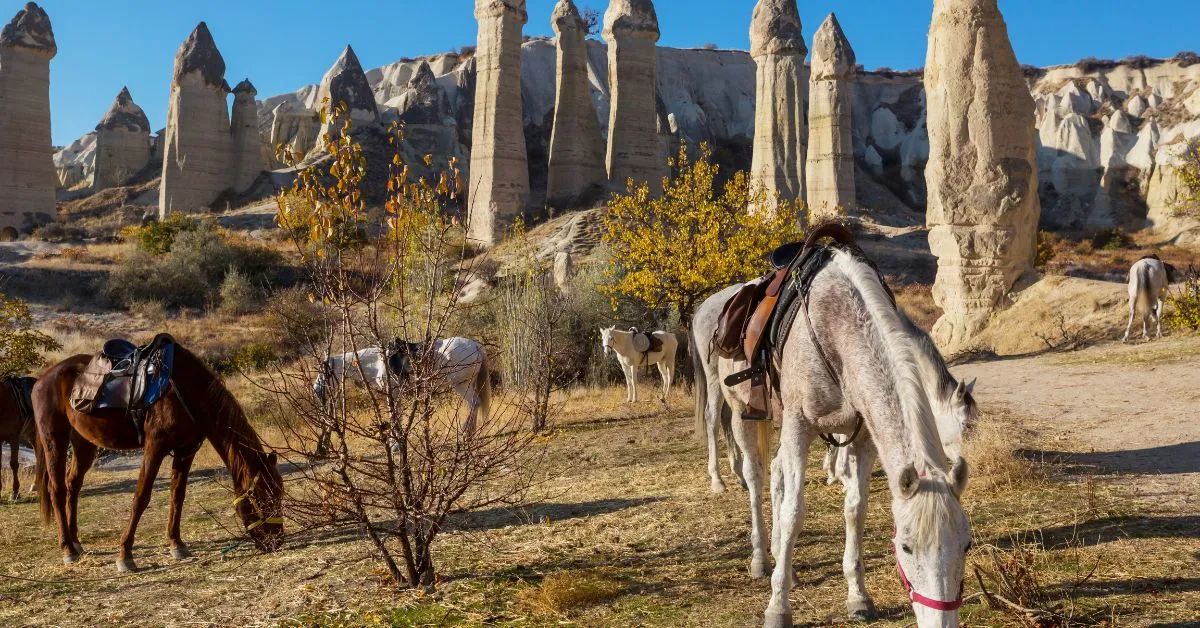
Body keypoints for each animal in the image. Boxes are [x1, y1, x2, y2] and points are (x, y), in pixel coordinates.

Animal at [32, 345, 283, 571]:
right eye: (264, 498)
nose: (276, 541)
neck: (186, 392)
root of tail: (41, 380)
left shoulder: (186, 451)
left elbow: (177, 495)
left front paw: (176, 544)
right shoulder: (155, 447)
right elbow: (141, 497)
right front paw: (125, 555)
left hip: (84, 443)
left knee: (72, 485)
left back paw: (75, 542)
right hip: (54, 440)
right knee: (56, 489)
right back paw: (67, 549)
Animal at [316, 338, 494, 437]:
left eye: (323, 372)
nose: (316, 391)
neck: (377, 363)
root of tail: (476, 345)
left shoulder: (393, 394)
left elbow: (396, 417)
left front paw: (394, 442)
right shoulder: (396, 396)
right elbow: (398, 416)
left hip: (461, 384)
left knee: (474, 403)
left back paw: (466, 432)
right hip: (469, 383)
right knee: (475, 404)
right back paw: (470, 433)